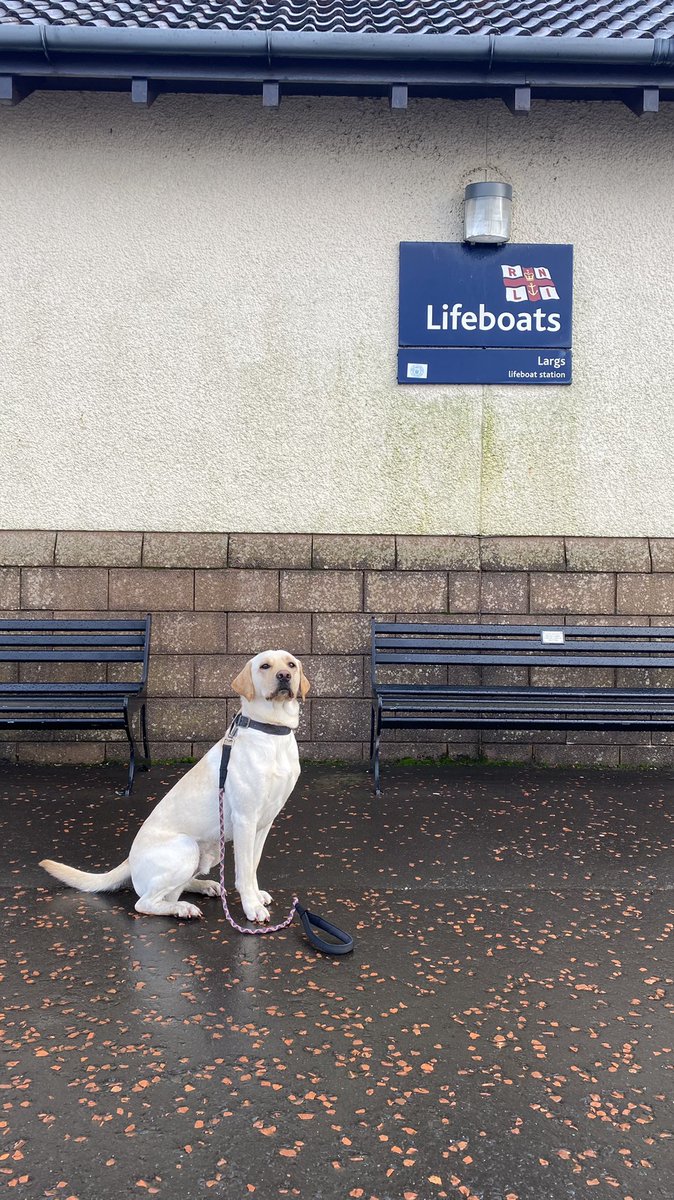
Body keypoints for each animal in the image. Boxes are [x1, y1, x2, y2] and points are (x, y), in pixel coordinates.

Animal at [43, 652, 311, 921]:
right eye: (265, 666)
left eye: (291, 664)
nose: (284, 676)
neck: (272, 732)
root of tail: (129, 860)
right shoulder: (246, 819)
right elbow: (244, 872)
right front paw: (251, 906)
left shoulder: (264, 822)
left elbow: (253, 865)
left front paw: (256, 897)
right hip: (186, 847)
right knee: (145, 902)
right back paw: (183, 908)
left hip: (210, 850)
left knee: (175, 890)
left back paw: (204, 886)